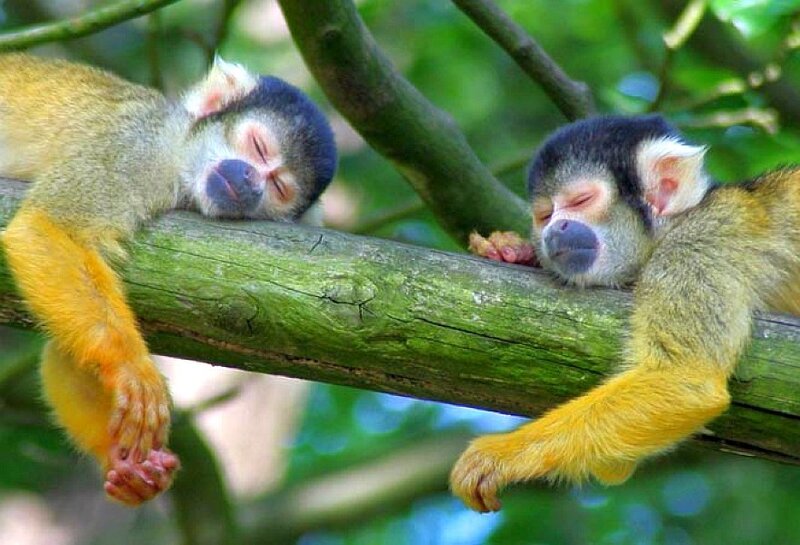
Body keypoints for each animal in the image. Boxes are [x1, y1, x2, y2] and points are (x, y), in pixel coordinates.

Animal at [0, 53, 337, 506]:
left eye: (280, 187)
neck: (179, 157)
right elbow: (48, 228)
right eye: (258, 147)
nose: (251, 181)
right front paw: (132, 367)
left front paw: (124, 461)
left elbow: (68, 350)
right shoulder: (134, 150)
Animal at [451, 114, 800, 512]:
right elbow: (614, 465)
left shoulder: (699, 245)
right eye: (544, 215)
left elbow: (685, 379)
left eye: (581, 200)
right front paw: (508, 250)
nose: (555, 229)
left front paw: (499, 454)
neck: (677, 223)